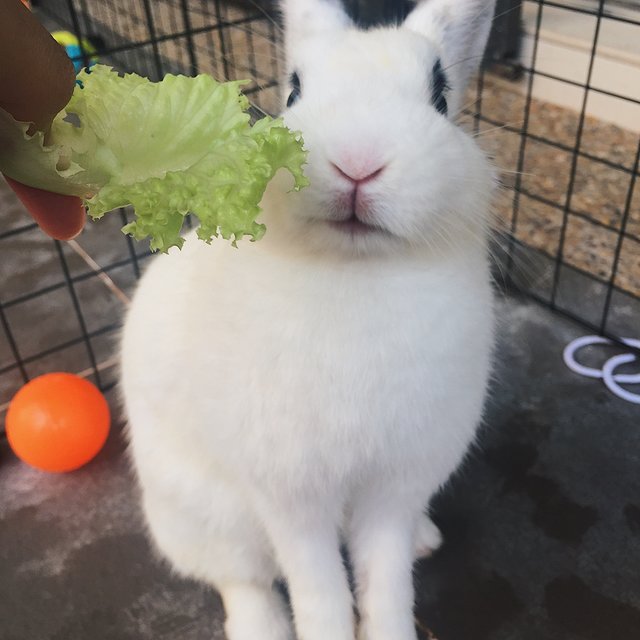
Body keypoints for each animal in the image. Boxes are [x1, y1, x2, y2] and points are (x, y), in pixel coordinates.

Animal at [121, 2, 500, 636]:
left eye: (441, 95)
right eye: (293, 92)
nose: (358, 164)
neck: (353, 270)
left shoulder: (394, 489)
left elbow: (387, 582)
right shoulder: (291, 498)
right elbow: (318, 588)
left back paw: (426, 539)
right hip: (204, 517)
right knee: (240, 579)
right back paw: (262, 626)